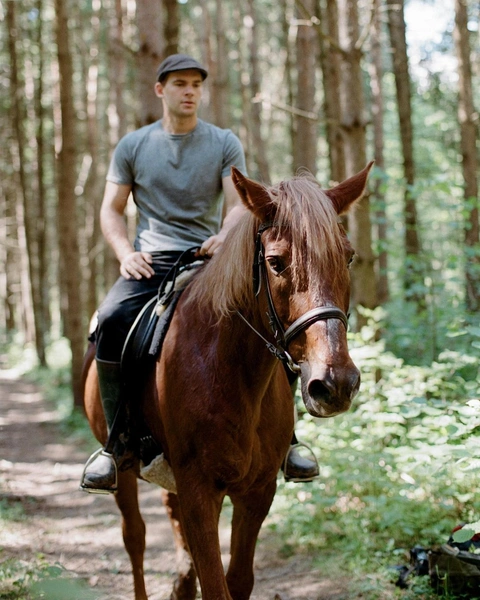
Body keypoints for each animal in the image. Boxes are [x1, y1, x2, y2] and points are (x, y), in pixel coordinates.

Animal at [82, 164, 374, 600]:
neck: (231, 372)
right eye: (276, 262)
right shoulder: (200, 490)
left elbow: (237, 580)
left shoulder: (257, 491)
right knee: (134, 537)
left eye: (348, 257)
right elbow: (214, 581)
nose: (336, 384)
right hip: (126, 468)